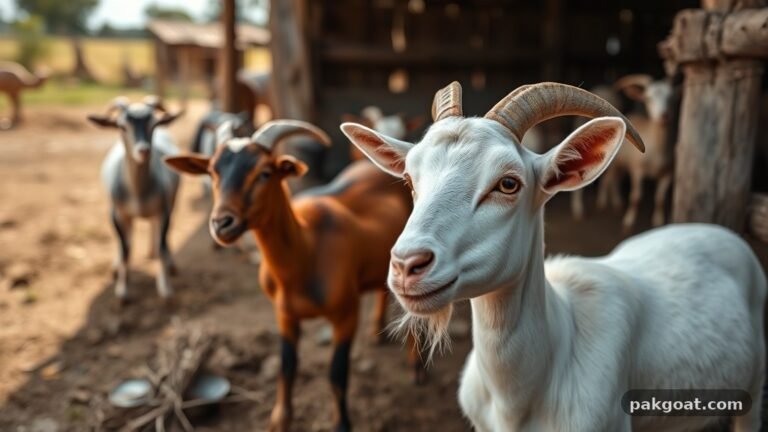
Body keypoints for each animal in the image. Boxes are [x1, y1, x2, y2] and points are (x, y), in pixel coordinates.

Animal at [88, 97, 184, 301]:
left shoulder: (164, 211)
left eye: (154, 123)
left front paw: (165, 288)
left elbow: (162, 244)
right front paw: (122, 290)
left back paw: (165, 261)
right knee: (128, 238)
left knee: (158, 235)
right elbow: (125, 248)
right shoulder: (116, 213)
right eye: (121, 126)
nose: (143, 150)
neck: (138, 193)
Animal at [165, 120, 421, 432]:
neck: (306, 252)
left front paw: (342, 424)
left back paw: (415, 368)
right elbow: (287, 367)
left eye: (265, 172)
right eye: (213, 171)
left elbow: (337, 373)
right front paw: (280, 420)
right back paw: (376, 333)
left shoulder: (346, 314)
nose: (222, 223)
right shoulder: (284, 314)